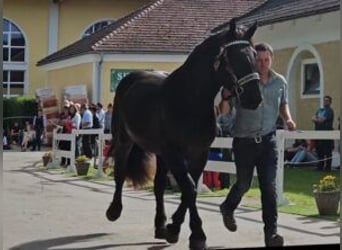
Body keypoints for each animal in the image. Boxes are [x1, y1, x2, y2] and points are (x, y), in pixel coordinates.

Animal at [105, 20, 260, 250]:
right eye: (234, 58)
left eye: (254, 56)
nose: (255, 98)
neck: (189, 100)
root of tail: (132, 77)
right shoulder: (175, 153)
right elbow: (189, 188)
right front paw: (197, 235)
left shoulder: (199, 153)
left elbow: (190, 188)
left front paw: (174, 229)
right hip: (125, 140)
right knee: (120, 171)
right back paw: (114, 211)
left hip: (160, 154)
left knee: (159, 185)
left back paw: (160, 226)